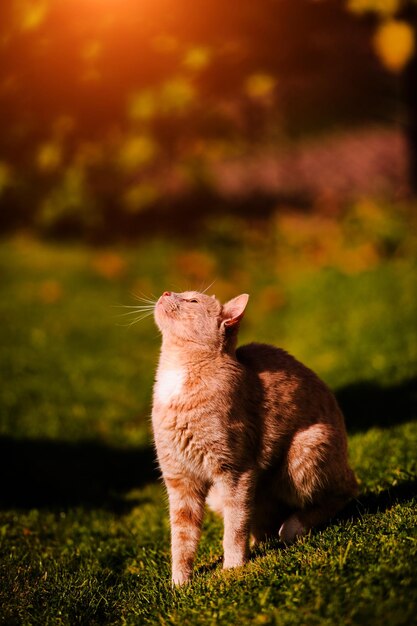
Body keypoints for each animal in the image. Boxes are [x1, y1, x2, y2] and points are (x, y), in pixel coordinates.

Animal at [151, 290, 356, 584]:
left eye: (192, 301)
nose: (167, 292)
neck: (177, 375)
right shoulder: (180, 480)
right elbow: (182, 538)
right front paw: (180, 583)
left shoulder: (236, 472)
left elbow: (234, 528)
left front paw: (233, 568)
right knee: (263, 523)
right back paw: (261, 540)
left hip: (305, 451)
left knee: (342, 493)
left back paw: (293, 526)